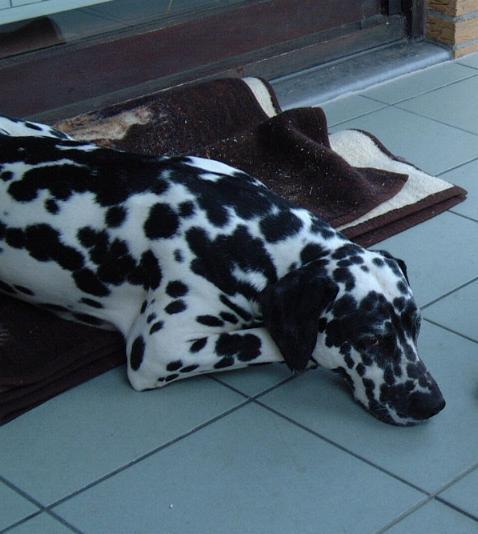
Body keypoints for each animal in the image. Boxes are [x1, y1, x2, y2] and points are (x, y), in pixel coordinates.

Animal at [0, 115, 445, 425]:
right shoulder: (160, 349)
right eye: (370, 340)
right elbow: (268, 340)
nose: (431, 403)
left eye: (416, 326)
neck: (238, 227)